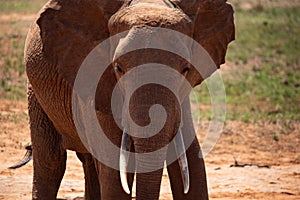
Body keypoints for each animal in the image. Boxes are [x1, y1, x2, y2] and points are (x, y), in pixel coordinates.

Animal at [22, 0, 234, 199]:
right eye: (118, 68)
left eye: (186, 69)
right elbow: (114, 176)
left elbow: (193, 164)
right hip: (36, 93)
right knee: (51, 162)